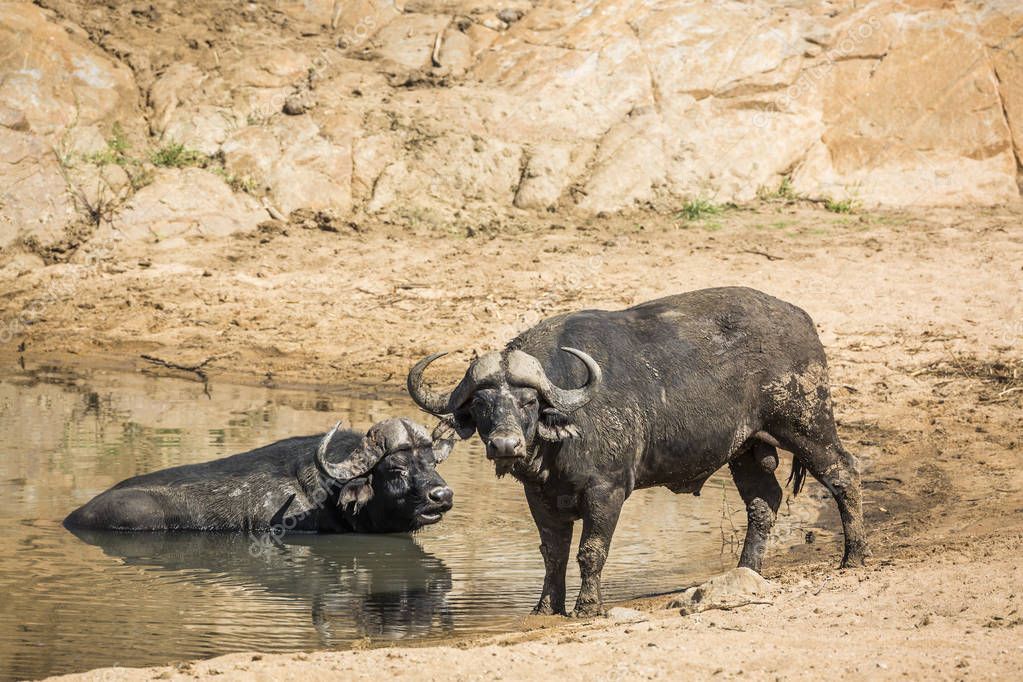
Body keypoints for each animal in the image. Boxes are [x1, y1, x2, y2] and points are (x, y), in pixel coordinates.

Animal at [409, 287, 868, 616]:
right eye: (482, 404)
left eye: (528, 402)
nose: (505, 444)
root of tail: (799, 318)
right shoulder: (538, 496)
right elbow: (552, 553)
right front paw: (546, 607)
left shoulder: (606, 492)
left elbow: (591, 552)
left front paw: (587, 607)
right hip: (746, 449)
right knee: (763, 503)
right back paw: (748, 571)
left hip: (806, 423)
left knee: (844, 473)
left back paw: (855, 556)